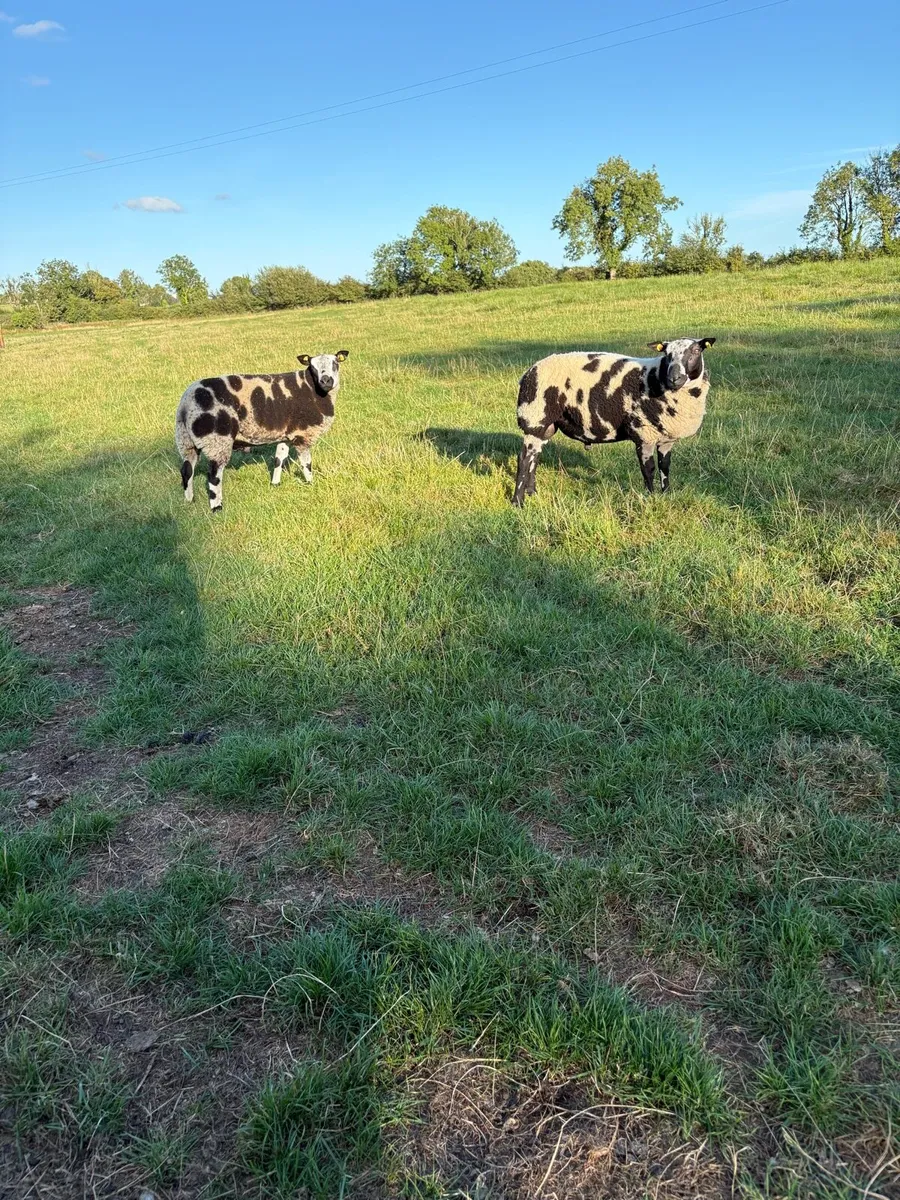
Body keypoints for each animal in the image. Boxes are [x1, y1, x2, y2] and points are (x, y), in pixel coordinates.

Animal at [175, 351, 349, 510]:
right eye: (312, 368)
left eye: (335, 363)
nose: (326, 380)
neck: (310, 388)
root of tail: (186, 403)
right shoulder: (302, 435)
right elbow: (306, 464)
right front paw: (311, 483)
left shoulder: (285, 434)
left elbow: (279, 458)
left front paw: (275, 483)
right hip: (217, 440)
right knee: (213, 476)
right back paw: (216, 507)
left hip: (186, 440)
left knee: (187, 470)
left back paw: (189, 501)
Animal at [511, 337, 716, 505]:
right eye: (667, 354)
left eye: (696, 351)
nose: (675, 378)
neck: (657, 378)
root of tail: (528, 373)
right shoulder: (643, 432)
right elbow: (648, 469)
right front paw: (651, 497)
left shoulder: (666, 438)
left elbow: (665, 467)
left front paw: (666, 495)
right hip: (535, 416)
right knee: (524, 459)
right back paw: (518, 501)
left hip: (546, 424)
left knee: (535, 457)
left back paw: (532, 492)